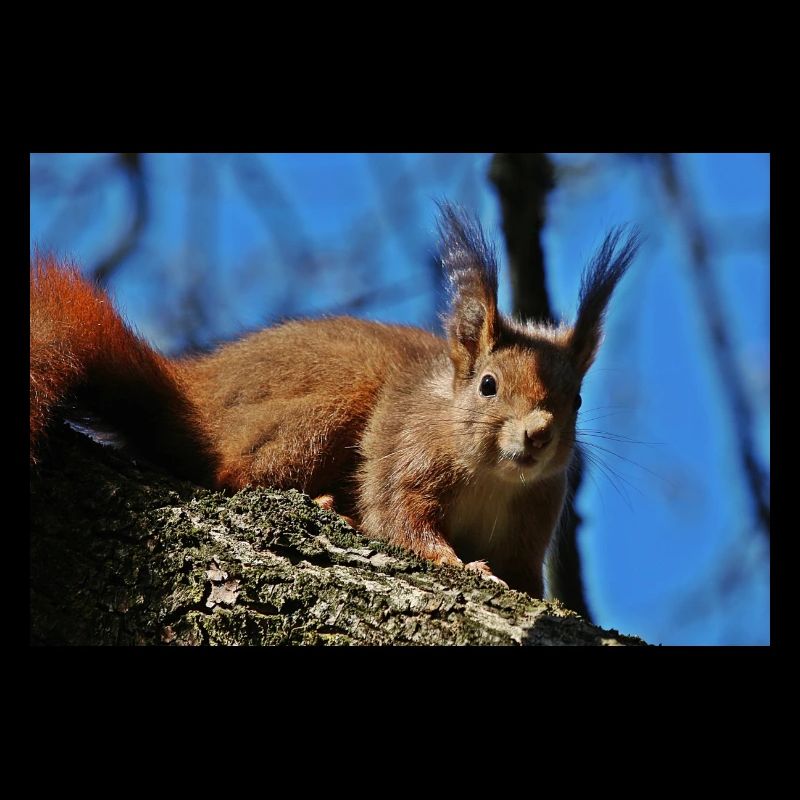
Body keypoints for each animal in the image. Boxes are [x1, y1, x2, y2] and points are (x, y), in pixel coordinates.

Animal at [30, 203, 640, 597]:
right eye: (488, 385)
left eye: (577, 400)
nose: (537, 433)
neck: (493, 476)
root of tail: (194, 391)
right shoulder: (405, 456)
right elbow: (400, 520)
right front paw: (462, 566)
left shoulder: (532, 522)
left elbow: (523, 579)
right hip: (328, 406)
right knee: (232, 473)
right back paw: (322, 503)